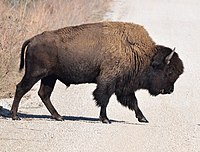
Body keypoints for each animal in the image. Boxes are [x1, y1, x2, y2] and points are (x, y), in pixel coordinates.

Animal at [10, 21, 184, 123]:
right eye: (169, 72)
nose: (170, 90)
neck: (140, 53)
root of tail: (32, 39)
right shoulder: (108, 82)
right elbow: (104, 99)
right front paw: (105, 119)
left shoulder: (124, 87)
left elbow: (133, 102)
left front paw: (143, 118)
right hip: (35, 74)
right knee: (21, 88)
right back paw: (15, 116)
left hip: (49, 77)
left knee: (44, 94)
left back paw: (59, 117)